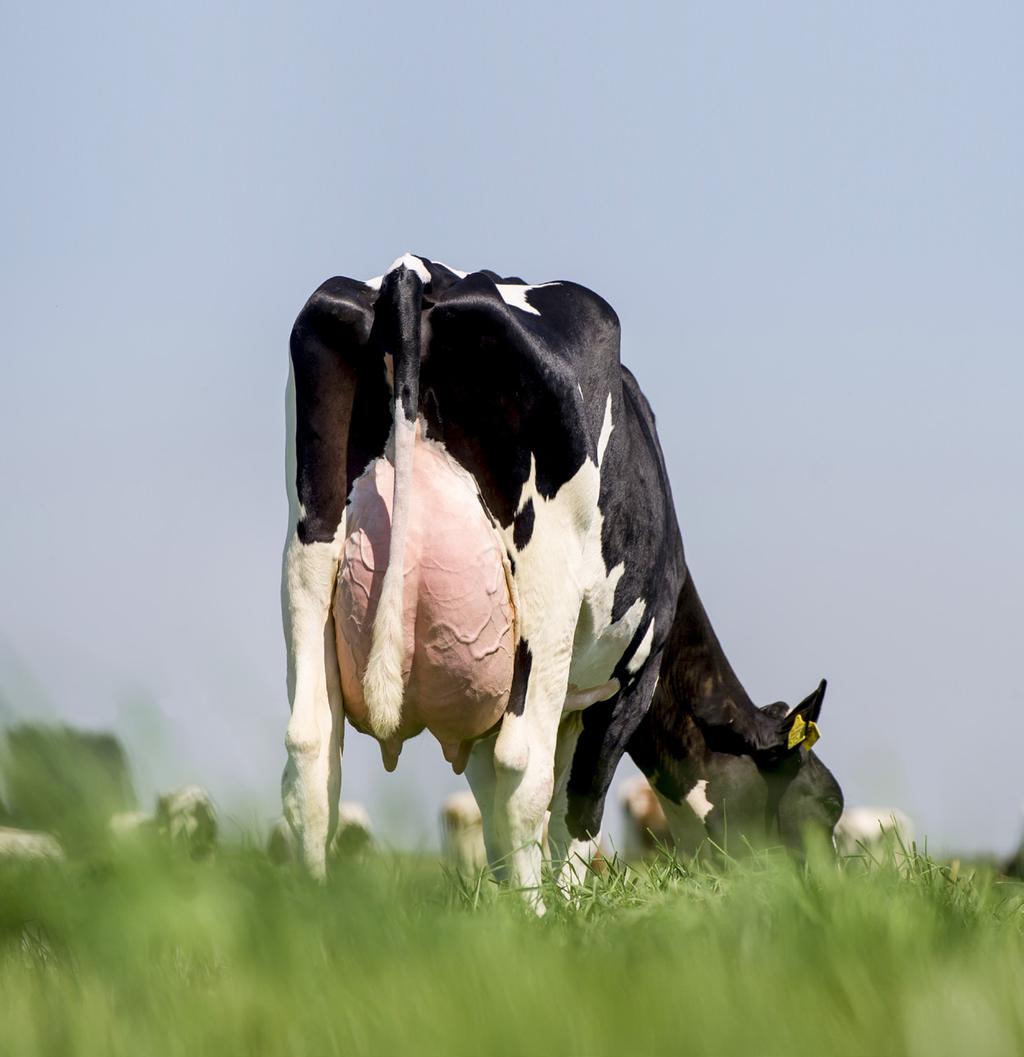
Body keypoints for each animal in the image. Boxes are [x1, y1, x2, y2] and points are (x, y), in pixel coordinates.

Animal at [281, 251, 841, 904]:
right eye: (827, 804)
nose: (830, 886)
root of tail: (418, 273)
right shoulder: (627, 680)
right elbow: (579, 799)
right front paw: (570, 902)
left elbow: (499, 806)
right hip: (542, 595)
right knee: (523, 764)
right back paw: (537, 913)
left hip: (309, 558)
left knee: (312, 744)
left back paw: (316, 902)